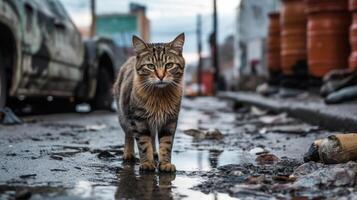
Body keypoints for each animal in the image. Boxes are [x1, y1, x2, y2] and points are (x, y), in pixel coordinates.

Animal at [113, 33, 186, 172]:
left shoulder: (170, 121)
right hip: (123, 116)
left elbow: (166, 144)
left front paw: (165, 163)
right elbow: (143, 143)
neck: (159, 96)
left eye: (169, 65)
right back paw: (128, 153)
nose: (161, 76)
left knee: (152, 137)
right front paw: (147, 163)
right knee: (128, 134)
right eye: (151, 66)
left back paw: (155, 153)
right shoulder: (139, 121)